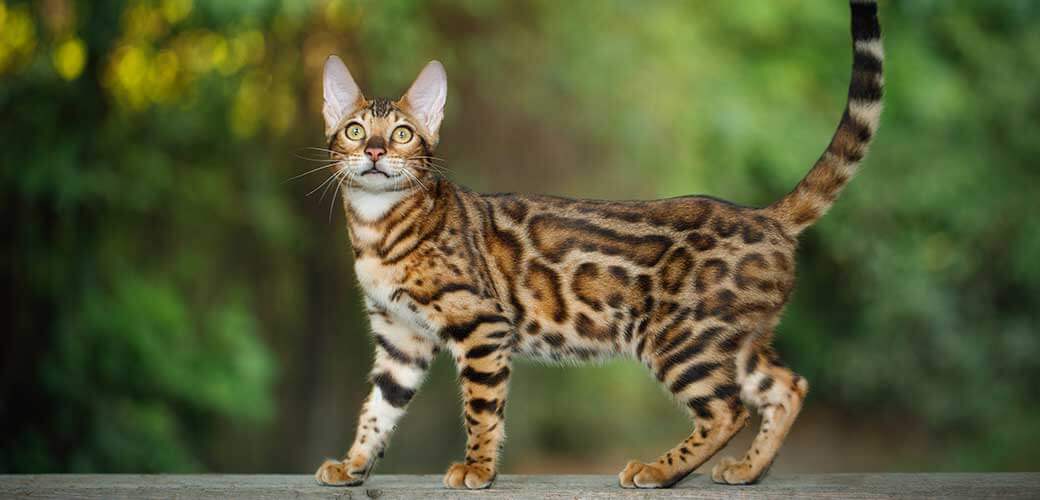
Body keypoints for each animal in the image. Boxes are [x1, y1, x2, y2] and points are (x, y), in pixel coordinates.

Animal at [312, 0, 881, 488]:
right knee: (788, 387)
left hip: (680, 340)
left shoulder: (482, 324)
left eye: (404, 134)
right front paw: (353, 464)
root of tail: (764, 216)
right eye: (356, 130)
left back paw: (658, 470)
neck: (377, 228)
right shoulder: (399, 337)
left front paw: (477, 468)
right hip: (731, 340)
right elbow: (378, 409)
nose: (376, 151)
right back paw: (747, 469)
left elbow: (481, 407)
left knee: (728, 410)